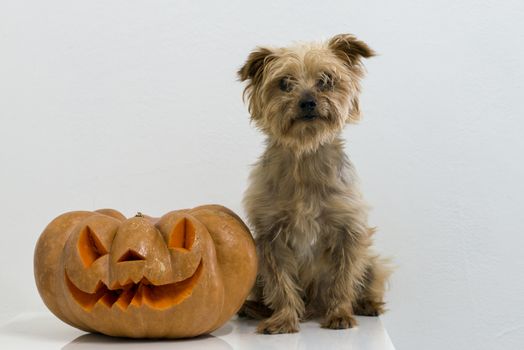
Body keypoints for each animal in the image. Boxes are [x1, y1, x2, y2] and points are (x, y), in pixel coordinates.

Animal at [237, 34, 388, 334]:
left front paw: (340, 314)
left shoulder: (348, 232)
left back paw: (367, 304)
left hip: (371, 260)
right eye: (284, 83)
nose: (307, 101)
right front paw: (283, 319)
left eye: (326, 80)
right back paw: (253, 309)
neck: (305, 156)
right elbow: (280, 282)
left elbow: (343, 278)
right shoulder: (271, 238)